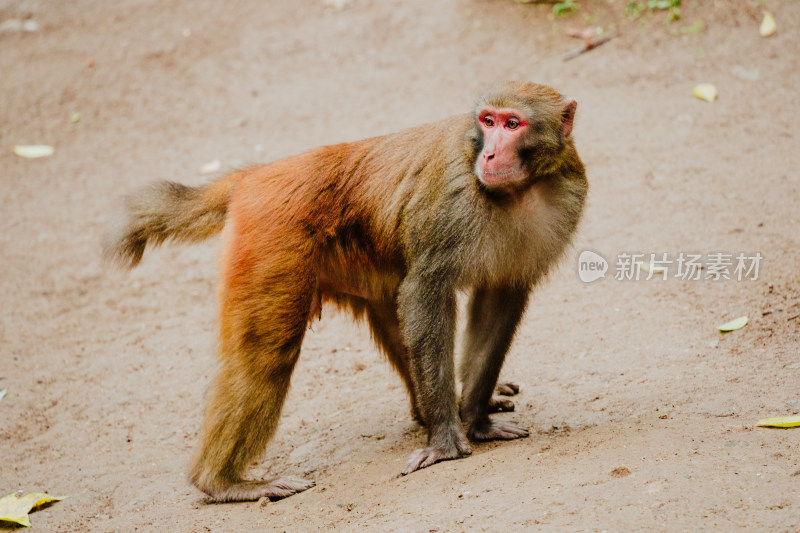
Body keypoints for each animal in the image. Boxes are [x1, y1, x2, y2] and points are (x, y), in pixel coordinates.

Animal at [104, 81, 588, 500]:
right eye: (488, 121)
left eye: (512, 124)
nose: (488, 153)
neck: (516, 192)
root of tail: (258, 174)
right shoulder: (451, 205)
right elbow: (426, 290)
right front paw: (447, 441)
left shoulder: (565, 197)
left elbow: (499, 301)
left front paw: (475, 420)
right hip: (272, 239)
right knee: (267, 354)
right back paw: (223, 483)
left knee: (393, 316)